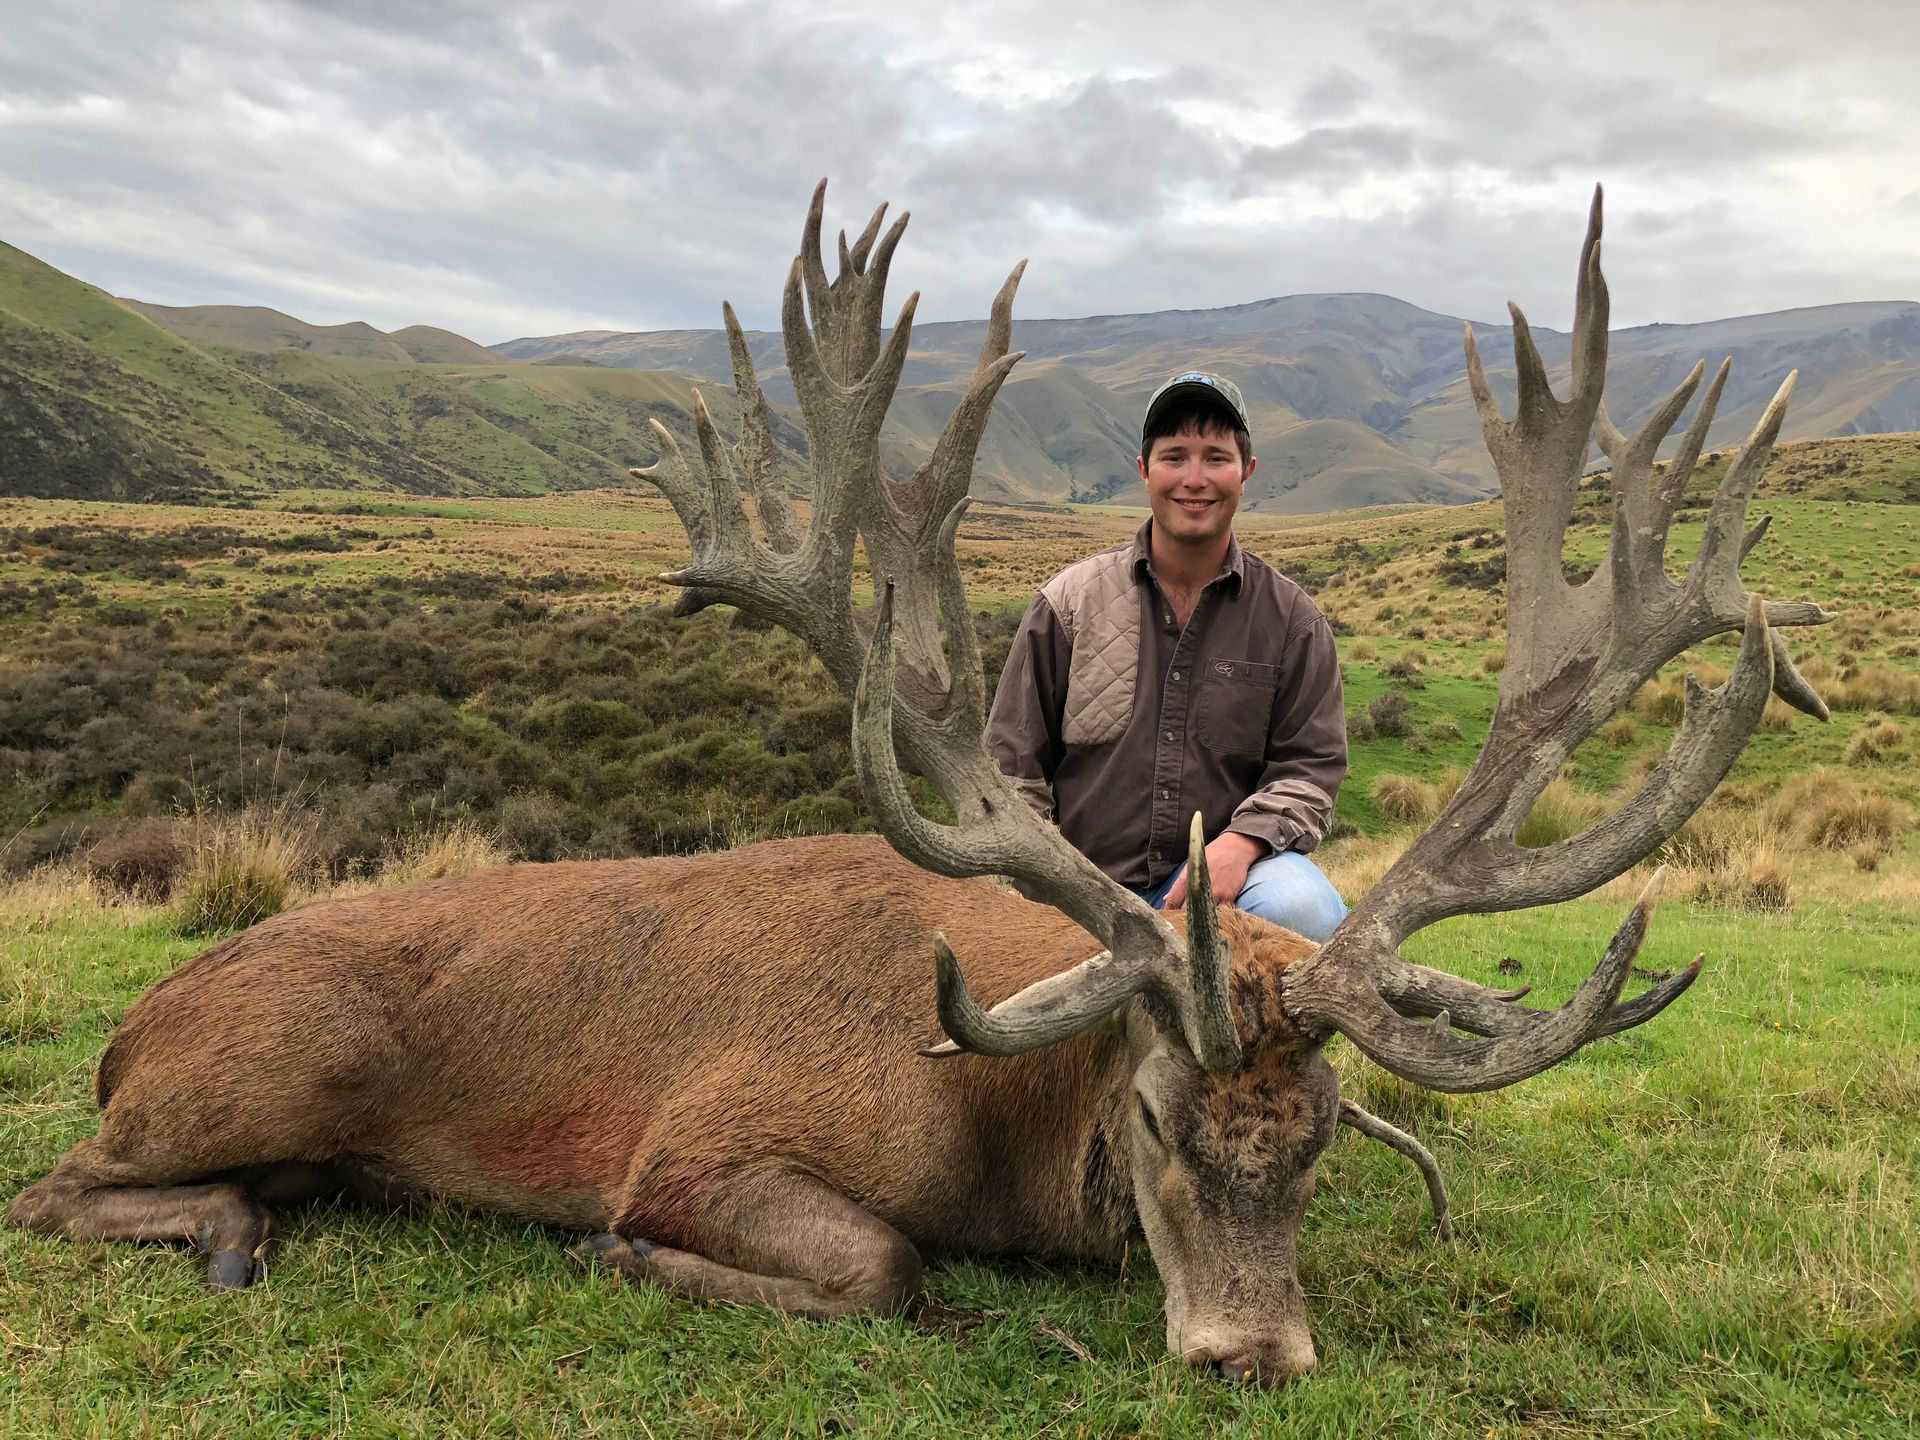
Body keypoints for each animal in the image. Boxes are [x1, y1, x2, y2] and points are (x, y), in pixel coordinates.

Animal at [7, 183, 1829, 1387]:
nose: (1252, 1355)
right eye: (1153, 1115)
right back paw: (237, 1228)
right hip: (279, 1059)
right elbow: (878, 1265)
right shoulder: (707, 1137)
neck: (1002, 1124)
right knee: (55, 1185)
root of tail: (129, 1024)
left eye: (1320, 1136)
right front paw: (623, 1252)